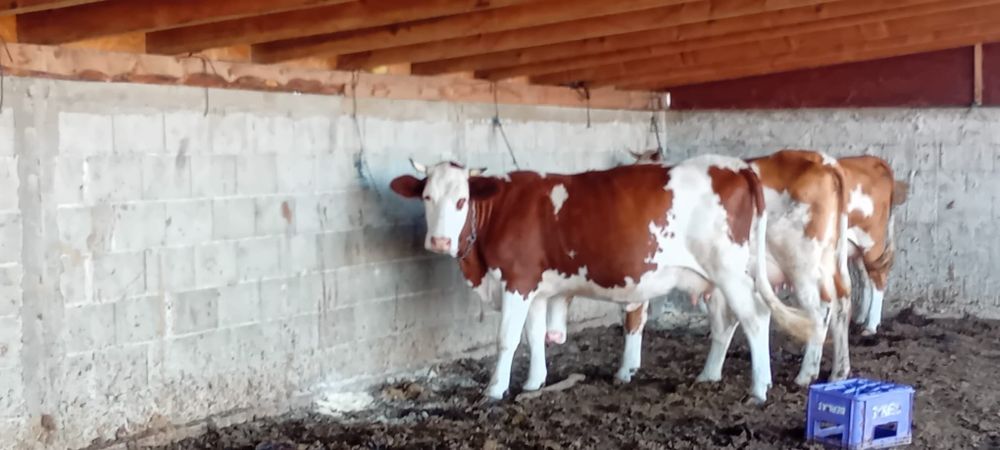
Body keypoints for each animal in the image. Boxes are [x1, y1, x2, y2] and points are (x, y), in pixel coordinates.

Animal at [389, 155, 818, 403]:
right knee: (728, 323)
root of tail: (735, 165)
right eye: (427, 197)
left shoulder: (517, 280)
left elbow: (507, 339)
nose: (439, 241)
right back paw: (708, 376)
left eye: (461, 200)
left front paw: (495, 390)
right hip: (719, 278)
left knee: (756, 318)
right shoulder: (537, 288)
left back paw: (759, 389)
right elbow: (534, 336)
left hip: (729, 270)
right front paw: (534, 383)